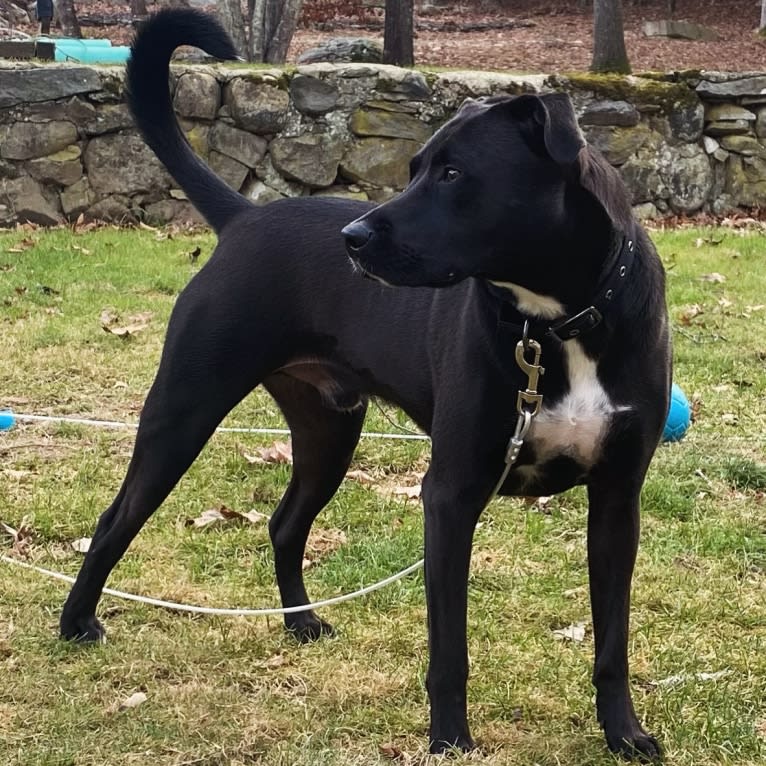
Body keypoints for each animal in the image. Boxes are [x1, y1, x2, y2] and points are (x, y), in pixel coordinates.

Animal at [60, 7, 672, 760]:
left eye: (452, 173)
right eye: (413, 169)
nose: (353, 237)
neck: (558, 322)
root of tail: (245, 215)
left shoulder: (617, 500)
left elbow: (613, 640)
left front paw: (624, 733)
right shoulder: (450, 495)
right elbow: (449, 649)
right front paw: (449, 740)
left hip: (329, 429)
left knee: (285, 523)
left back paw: (300, 621)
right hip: (185, 409)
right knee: (116, 519)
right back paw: (77, 623)